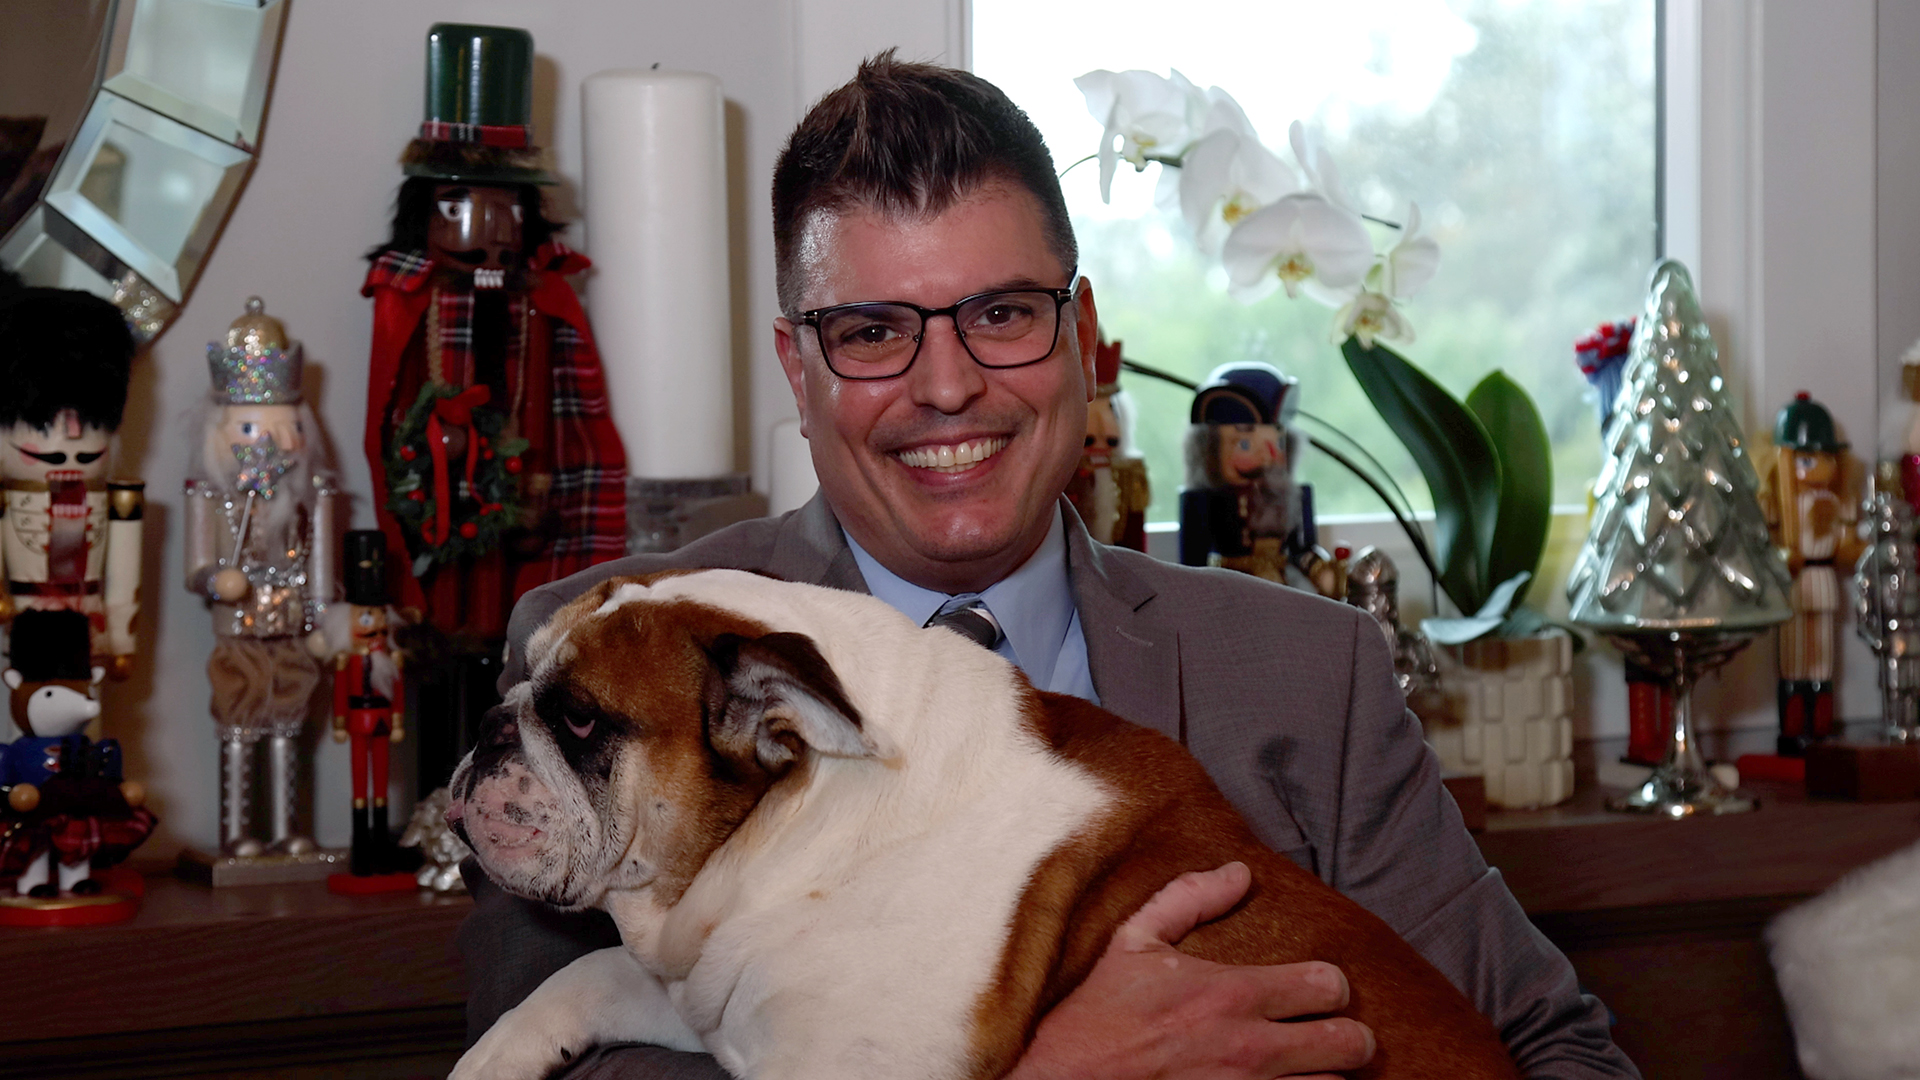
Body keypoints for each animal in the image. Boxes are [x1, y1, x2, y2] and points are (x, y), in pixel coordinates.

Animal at [447, 569, 1519, 1080]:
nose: (489, 724)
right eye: (522, 678)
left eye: (580, 720)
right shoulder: (715, 991)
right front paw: (497, 1055)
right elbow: (591, 971)